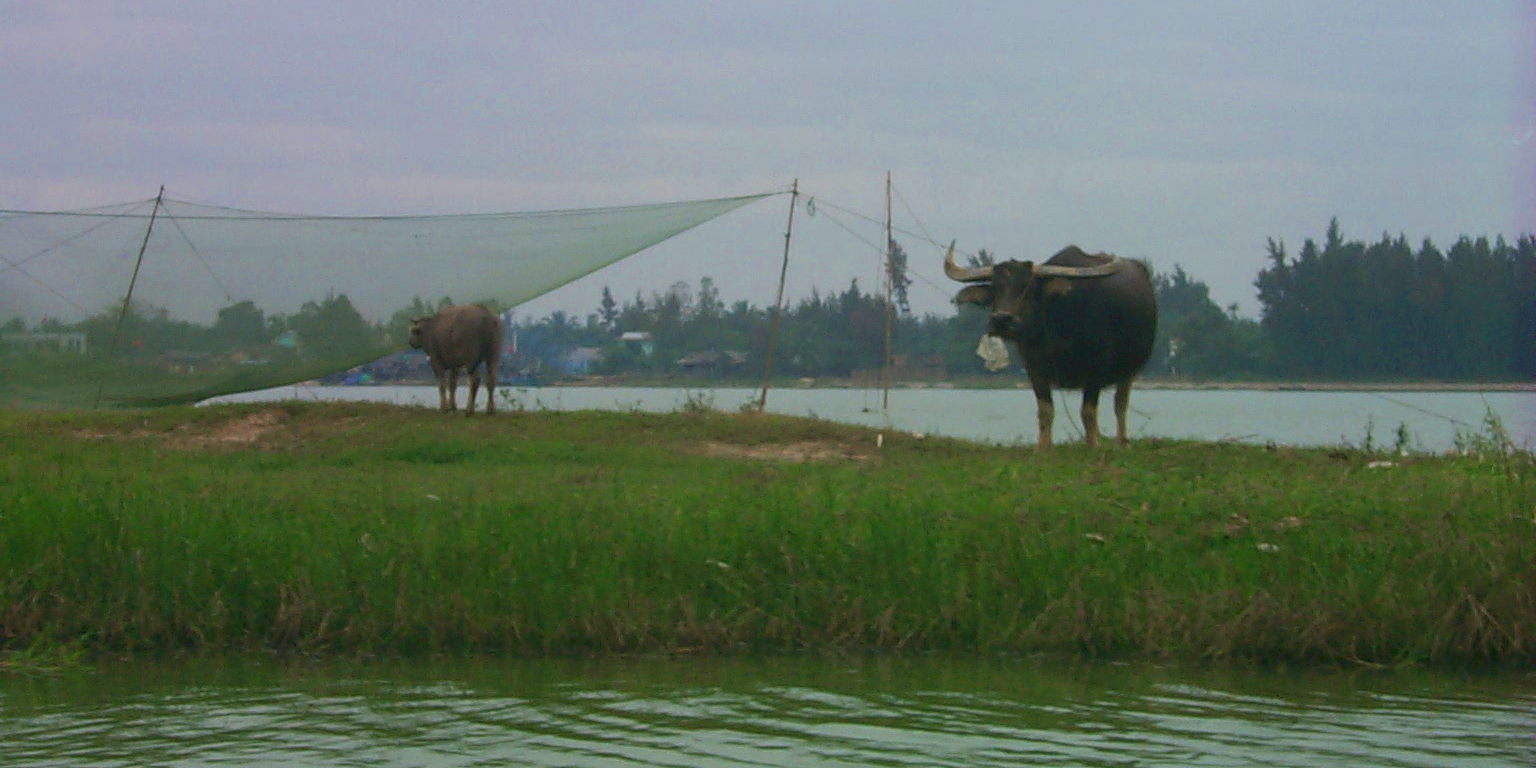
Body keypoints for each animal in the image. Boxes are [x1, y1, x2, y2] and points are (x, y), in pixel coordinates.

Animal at [940, 242, 1155, 448]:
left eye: (1027, 288)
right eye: (995, 288)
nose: (1001, 320)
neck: (1056, 328)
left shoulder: (1097, 368)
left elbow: (1088, 412)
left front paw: (1093, 445)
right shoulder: (1034, 368)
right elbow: (1045, 410)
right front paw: (1042, 448)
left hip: (1131, 369)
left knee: (1120, 404)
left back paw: (1122, 442)